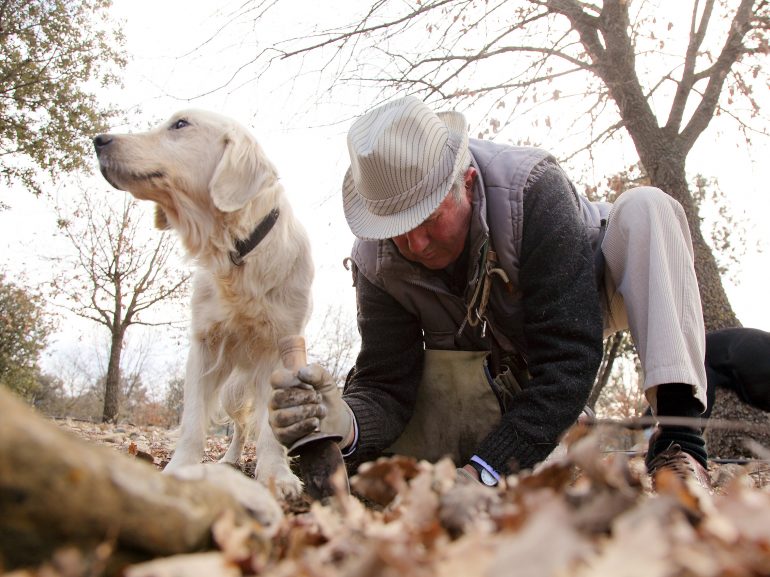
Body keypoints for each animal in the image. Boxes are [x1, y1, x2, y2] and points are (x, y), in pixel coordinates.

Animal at [92, 110, 312, 498]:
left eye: (181, 124)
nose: (99, 140)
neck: (237, 251)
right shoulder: (205, 345)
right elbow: (193, 420)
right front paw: (180, 469)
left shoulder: (281, 346)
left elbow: (271, 430)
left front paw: (277, 476)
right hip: (232, 392)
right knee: (240, 427)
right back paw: (229, 460)